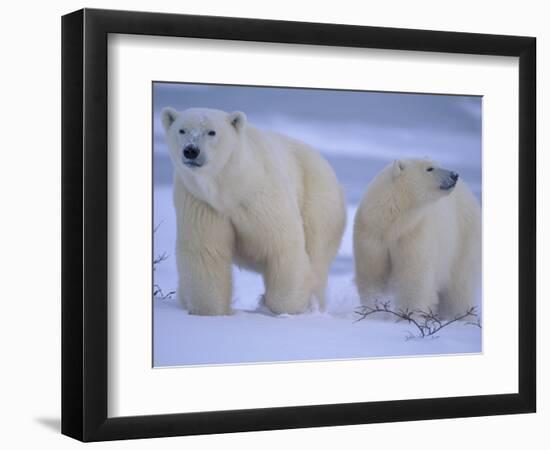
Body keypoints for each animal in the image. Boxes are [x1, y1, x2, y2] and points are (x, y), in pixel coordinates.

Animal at [162, 106, 348, 316]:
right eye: (182, 130)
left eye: (212, 132)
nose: (191, 150)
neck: (231, 188)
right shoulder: (201, 202)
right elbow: (206, 251)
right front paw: (209, 311)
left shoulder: (262, 197)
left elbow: (282, 247)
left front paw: (285, 308)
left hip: (318, 202)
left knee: (316, 254)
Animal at [356, 160, 480, 318]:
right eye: (429, 168)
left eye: (435, 164)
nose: (455, 175)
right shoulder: (373, 237)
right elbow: (373, 278)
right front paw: (374, 314)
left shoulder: (413, 234)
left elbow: (413, 279)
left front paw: (407, 316)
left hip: (463, 240)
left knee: (459, 287)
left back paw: (459, 316)